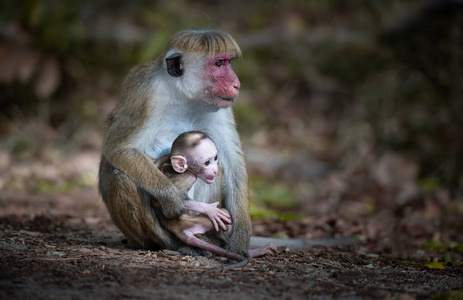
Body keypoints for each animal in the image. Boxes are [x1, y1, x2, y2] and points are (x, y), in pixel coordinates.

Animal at [99, 28, 260, 255]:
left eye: (228, 62)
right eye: (219, 63)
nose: (236, 84)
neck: (183, 96)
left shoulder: (221, 108)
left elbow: (231, 160)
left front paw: (241, 237)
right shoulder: (144, 94)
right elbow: (118, 148)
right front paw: (171, 197)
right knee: (123, 178)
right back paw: (177, 245)